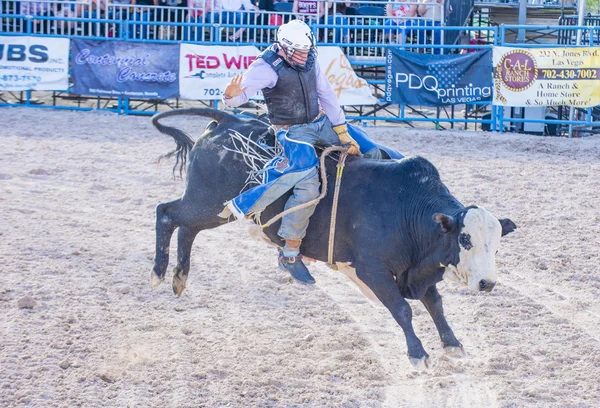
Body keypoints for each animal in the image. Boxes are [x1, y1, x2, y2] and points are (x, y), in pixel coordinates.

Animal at [150, 108, 516, 370]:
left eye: (496, 245)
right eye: (465, 240)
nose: (487, 283)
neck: (406, 209)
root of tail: (230, 120)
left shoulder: (418, 268)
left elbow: (435, 304)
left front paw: (453, 345)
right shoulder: (372, 270)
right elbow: (402, 309)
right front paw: (417, 354)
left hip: (211, 209)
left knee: (187, 227)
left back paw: (179, 278)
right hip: (207, 202)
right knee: (167, 213)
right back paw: (158, 273)